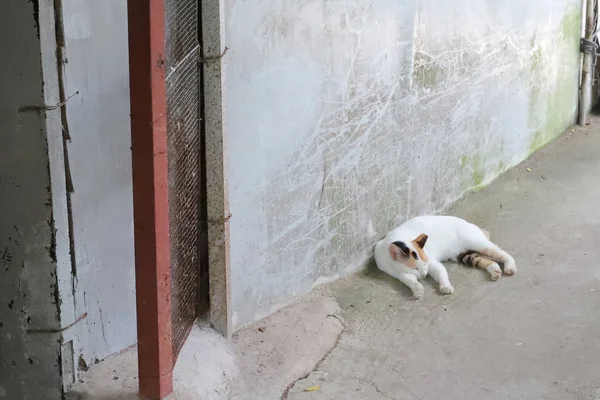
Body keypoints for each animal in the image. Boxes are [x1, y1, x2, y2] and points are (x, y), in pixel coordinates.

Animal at [376, 216, 516, 296]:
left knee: (503, 254)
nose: (424, 275)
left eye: (425, 264)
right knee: (489, 261)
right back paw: (495, 271)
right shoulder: (398, 273)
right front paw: (418, 289)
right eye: (415, 268)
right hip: (465, 255)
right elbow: (410, 280)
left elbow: (441, 272)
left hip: (479, 244)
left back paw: (510, 267)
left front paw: (446, 287)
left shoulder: (433, 263)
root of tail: (472, 225)